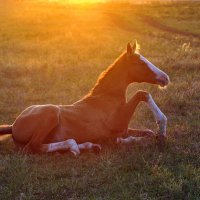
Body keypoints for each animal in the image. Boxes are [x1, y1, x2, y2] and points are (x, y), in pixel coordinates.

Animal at [0, 41, 170, 155]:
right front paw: (161, 127)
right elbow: (143, 93)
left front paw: (155, 135)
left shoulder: (124, 129)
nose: (166, 78)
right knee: (34, 146)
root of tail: (13, 125)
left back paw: (90, 146)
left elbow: (148, 132)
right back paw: (75, 147)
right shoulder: (118, 123)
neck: (105, 98)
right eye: (141, 63)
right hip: (51, 112)